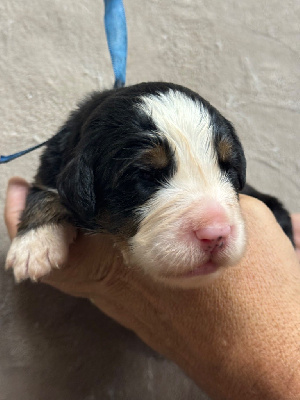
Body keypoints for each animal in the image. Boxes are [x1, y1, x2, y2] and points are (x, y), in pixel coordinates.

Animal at [5, 82, 294, 288]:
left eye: (229, 168)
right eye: (144, 175)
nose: (215, 233)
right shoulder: (51, 166)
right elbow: (45, 193)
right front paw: (34, 245)